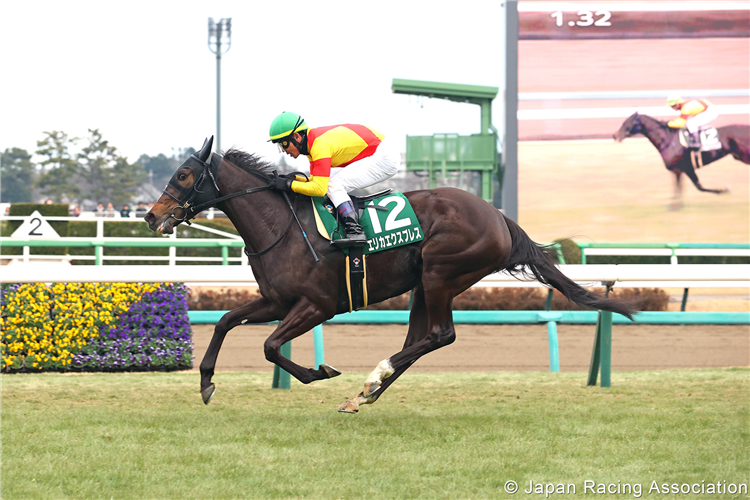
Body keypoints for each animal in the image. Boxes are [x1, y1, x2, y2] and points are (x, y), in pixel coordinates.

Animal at [145, 138, 636, 414]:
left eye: (184, 174)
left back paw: (370, 381)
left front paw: (320, 371)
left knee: (439, 335)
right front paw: (206, 382)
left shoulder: (317, 306)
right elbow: (226, 321)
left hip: (441, 273)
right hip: (425, 283)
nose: (151, 216)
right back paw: (364, 395)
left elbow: (269, 346)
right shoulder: (277, 300)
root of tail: (498, 216)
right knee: (421, 339)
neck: (280, 225)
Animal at [616, 112, 750, 207]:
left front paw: (723, 190)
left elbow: (697, 186)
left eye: (627, 123)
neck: (668, 140)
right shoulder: (679, 170)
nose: (615, 135)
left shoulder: (686, 167)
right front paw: (676, 205)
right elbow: (680, 187)